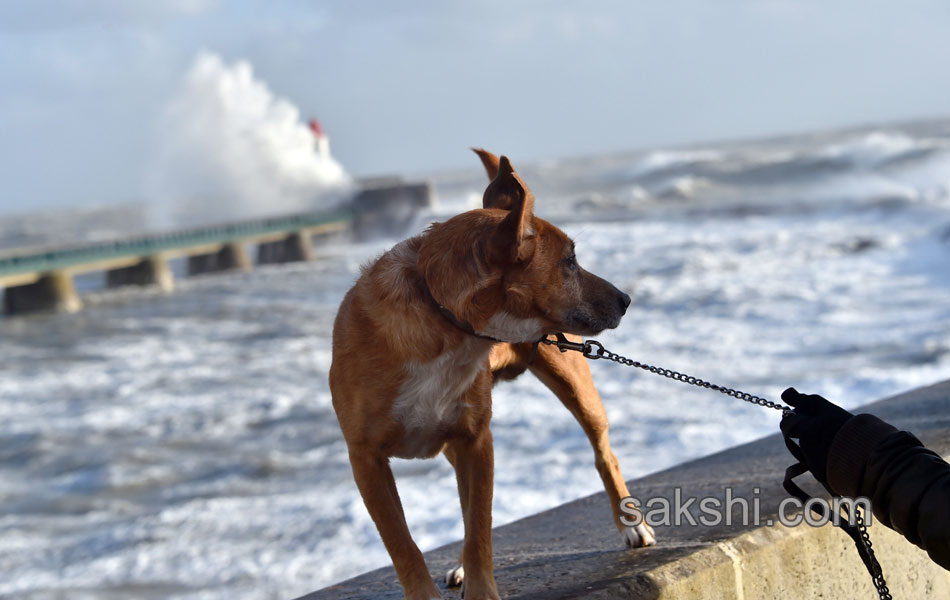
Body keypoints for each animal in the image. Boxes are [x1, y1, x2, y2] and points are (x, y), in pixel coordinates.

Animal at [330, 151, 656, 600]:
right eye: (569, 262)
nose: (626, 299)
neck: (443, 317)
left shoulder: (477, 441)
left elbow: (479, 532)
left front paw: (482, 589)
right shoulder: (367, 460)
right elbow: (405, 545)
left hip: (575, 389)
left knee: (604, 453)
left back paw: (632, 526)